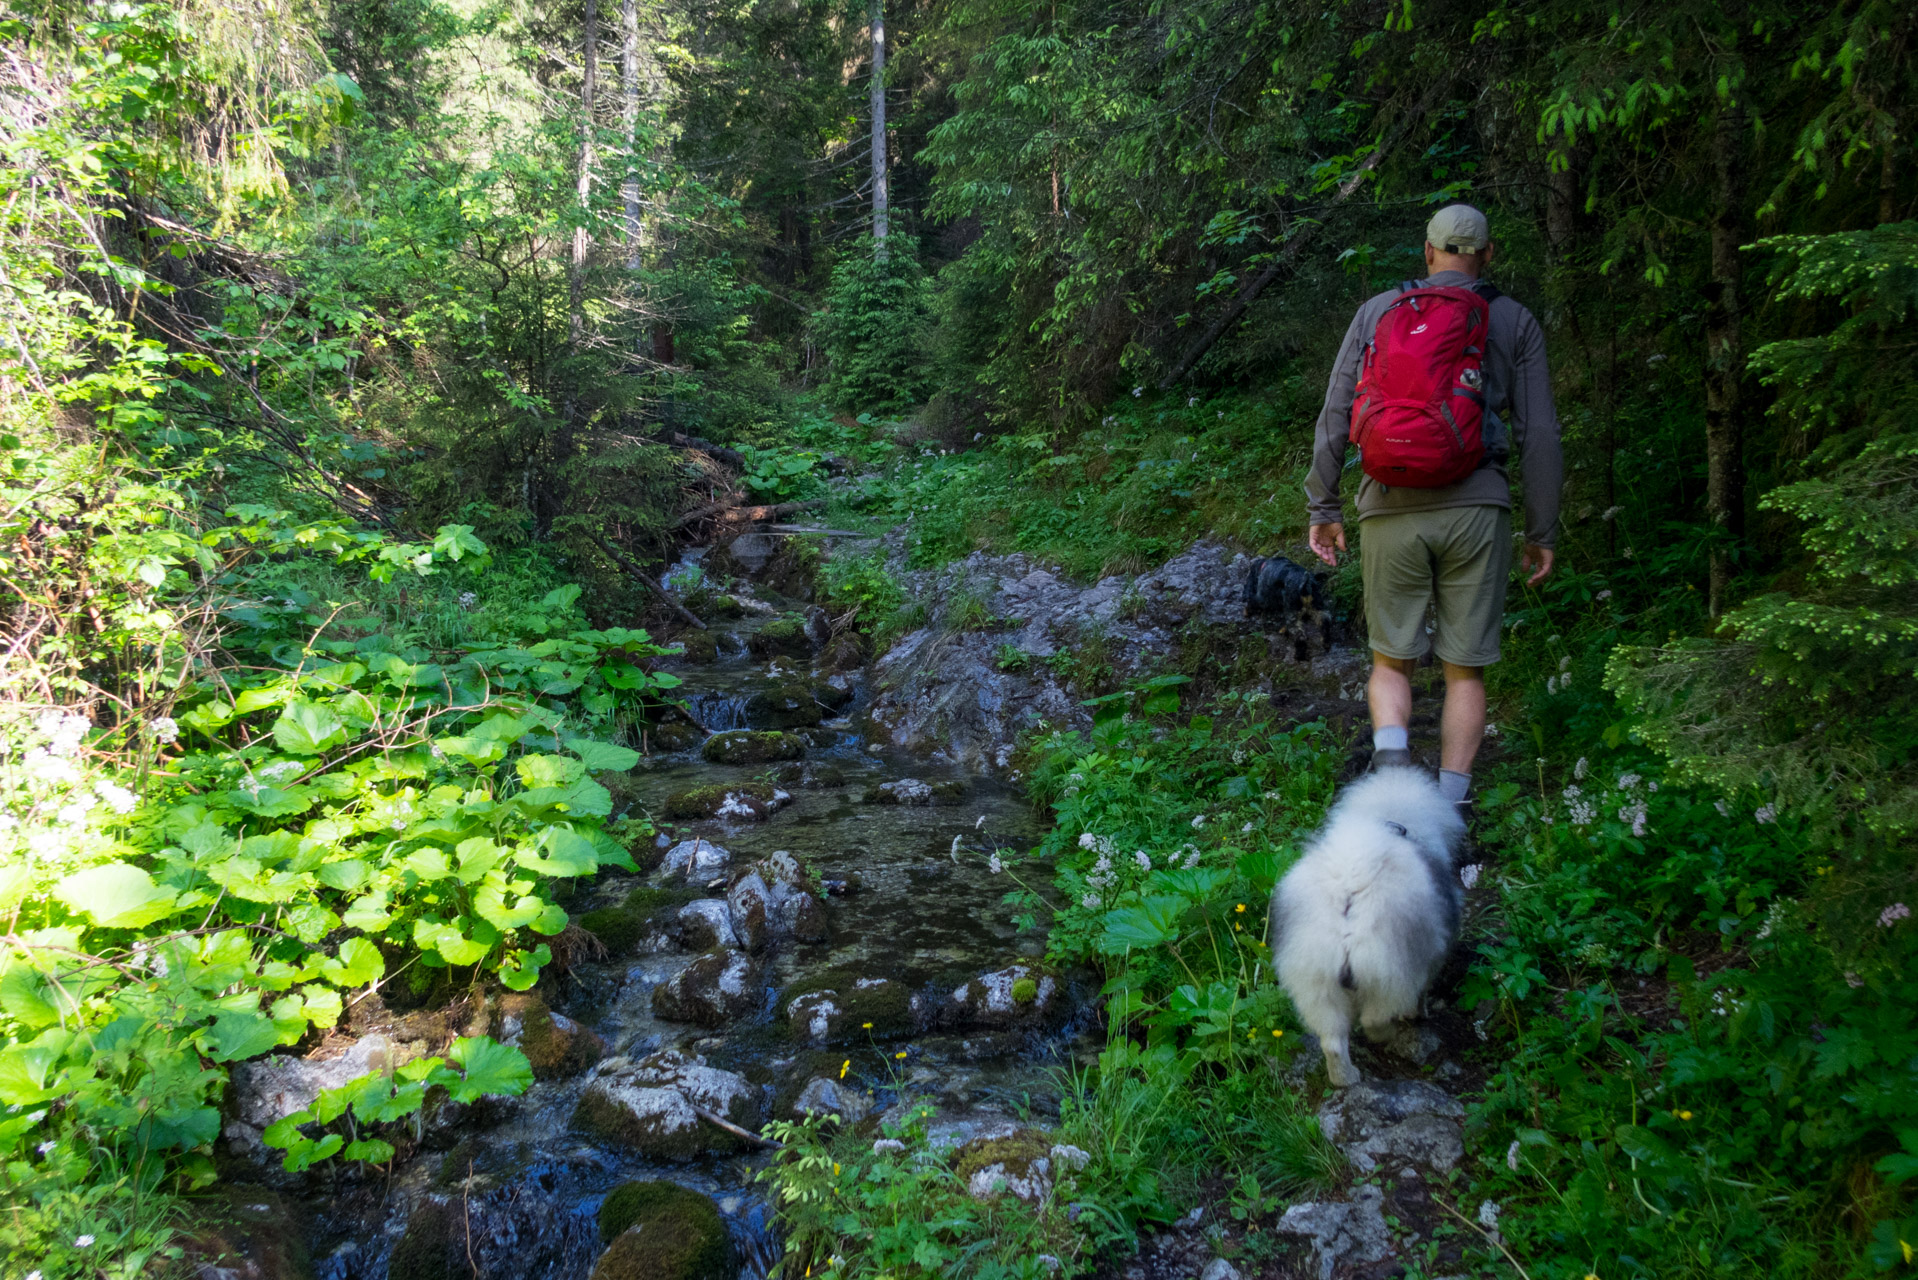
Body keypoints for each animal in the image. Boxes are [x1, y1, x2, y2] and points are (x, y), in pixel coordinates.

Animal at [1273, 767, 1465, 1090]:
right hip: (1388, 975)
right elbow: (1423, 993)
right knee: (1374, 1019)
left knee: (1333, 1043)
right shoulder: (1429, 961)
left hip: (1317, 985)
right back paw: (1386, 1037)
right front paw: (1420, 1015)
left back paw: (1346, 1079)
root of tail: (1349, 898)